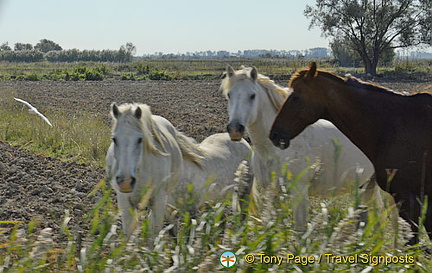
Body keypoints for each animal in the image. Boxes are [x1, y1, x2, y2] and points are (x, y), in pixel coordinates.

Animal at [221, 65, 386, 230]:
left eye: (252, 95)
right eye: (229, 95)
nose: (235, 129)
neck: (274, 151)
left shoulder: (299, 192)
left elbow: (300, 229)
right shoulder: (272, 193)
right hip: (368, 185)